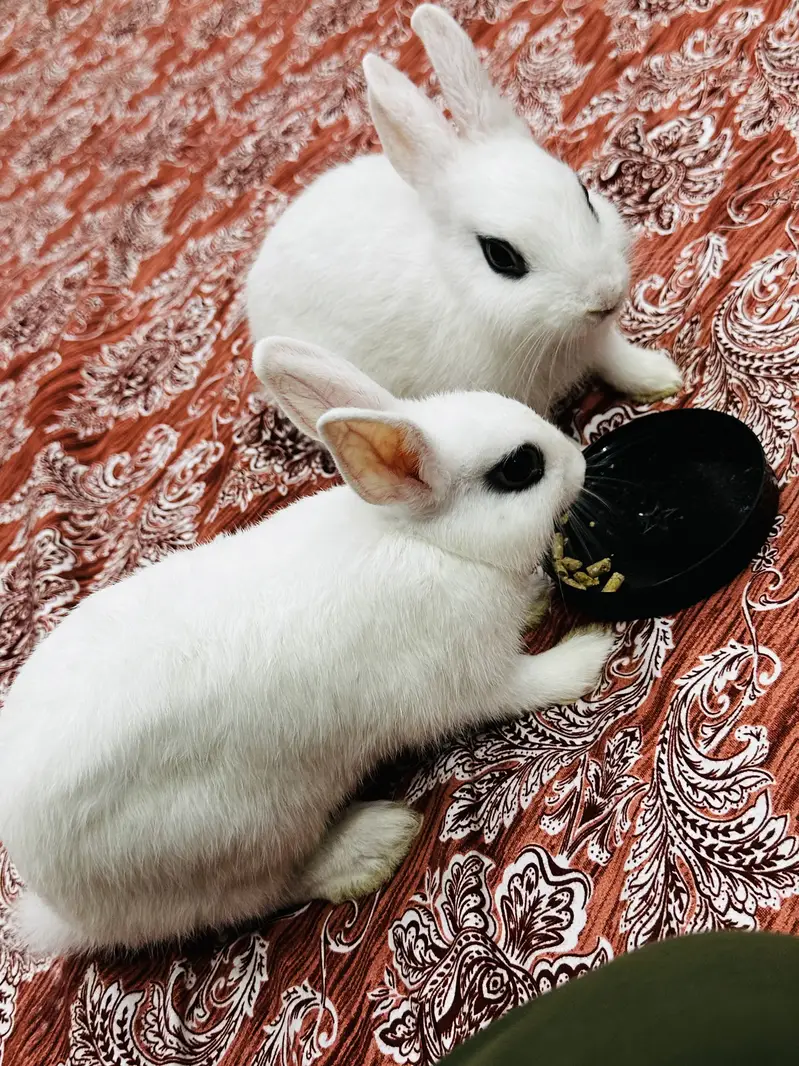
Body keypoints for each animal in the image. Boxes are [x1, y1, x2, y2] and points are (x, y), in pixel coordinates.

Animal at [0, 337, 614, 958]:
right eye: (520, 468)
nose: (582, 461)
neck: (430, 541)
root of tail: (61, 906)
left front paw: (536, 598)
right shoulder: (467, 680)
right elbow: (525, 685)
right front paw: (588, 654)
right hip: (239, 836)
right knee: (263, 892)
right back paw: (373, 845)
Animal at [246, 4, 682, 417]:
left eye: (585, 195)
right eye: (500, 256)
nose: (605, 295)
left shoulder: (600, 344)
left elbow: (619, 362)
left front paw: (664, 378)